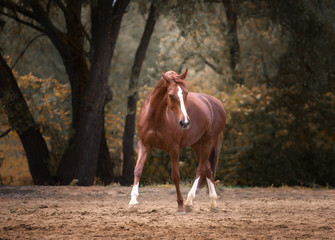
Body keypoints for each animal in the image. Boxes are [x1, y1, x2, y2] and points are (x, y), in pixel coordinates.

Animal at [130, 68, 227, 213]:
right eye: (170, 95)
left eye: (186, 93)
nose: (185, 122)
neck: (156, 118)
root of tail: (216, 104)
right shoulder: (144, 145)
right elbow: (138, 169)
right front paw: (133, 202)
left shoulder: (173, 149)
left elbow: (175, 176)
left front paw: (180, 205)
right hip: (197, 145)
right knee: (208, 169)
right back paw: (213, 203)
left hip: (208, 142)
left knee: (201, 169)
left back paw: (189, 202)